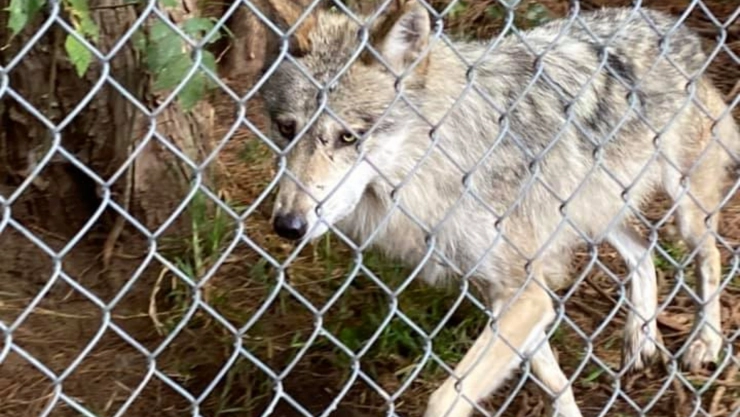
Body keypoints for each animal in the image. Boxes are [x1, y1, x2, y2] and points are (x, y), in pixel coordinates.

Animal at [257, 0, 740, 415]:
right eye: (286, 128)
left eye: (348, 136)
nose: (288, 225)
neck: (446, 159)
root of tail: (672, 26)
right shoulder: (510, 291)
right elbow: (552, 377)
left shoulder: (525, 294)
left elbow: (446, 398)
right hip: (594, 213)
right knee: (644, 252)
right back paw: (641, 339)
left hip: (683, 209)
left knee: (710, 255)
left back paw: (705, 342)